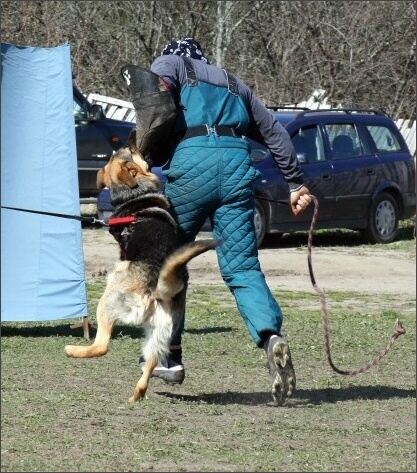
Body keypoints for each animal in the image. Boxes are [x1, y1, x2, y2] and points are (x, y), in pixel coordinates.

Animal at [65, 131, 218, 400]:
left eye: (127, 150)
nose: (132, 135)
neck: (135, 195)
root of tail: (156, 289)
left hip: (107, 300)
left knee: (102, 346)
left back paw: (73, 350)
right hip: (159, 335)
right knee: (150, 363)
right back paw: (137, 394)